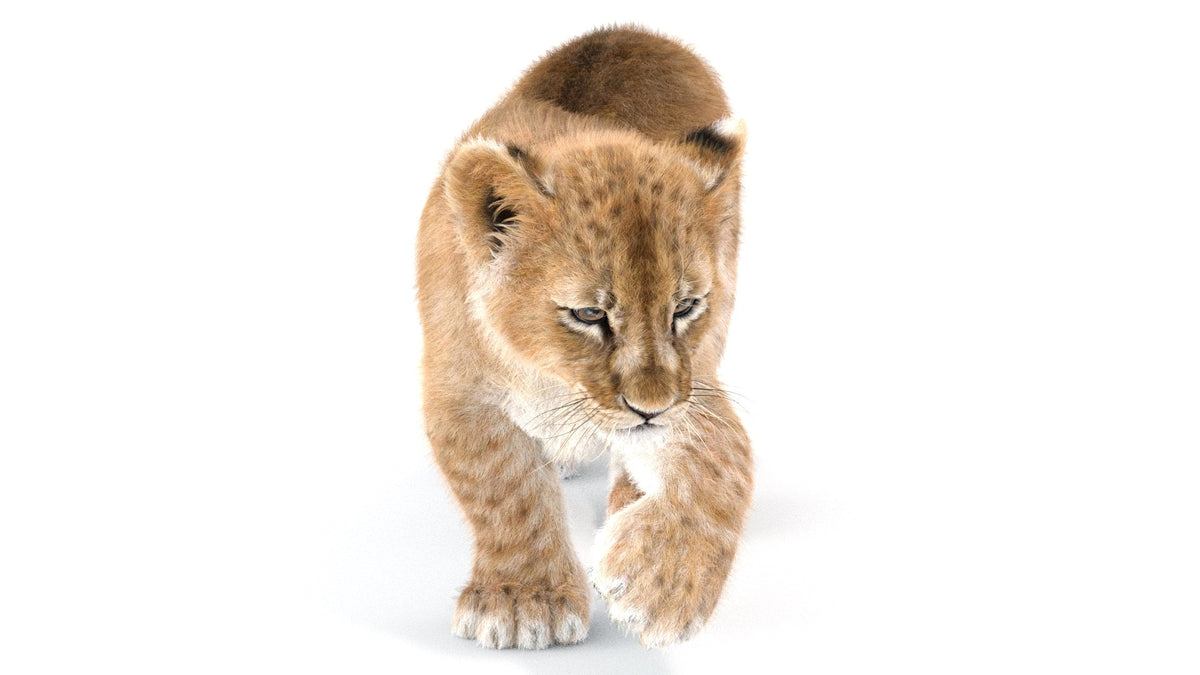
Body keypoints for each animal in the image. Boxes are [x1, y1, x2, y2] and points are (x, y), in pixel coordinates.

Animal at [416, 25, 753, 649]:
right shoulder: (457, 390)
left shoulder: (694, 381)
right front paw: (526, 603)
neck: (553, 378)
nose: (650, 408)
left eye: (684, 307)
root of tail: (632, 31)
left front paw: (660, 582)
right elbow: (504, 487)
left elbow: (722, 460)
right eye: (589, 314)